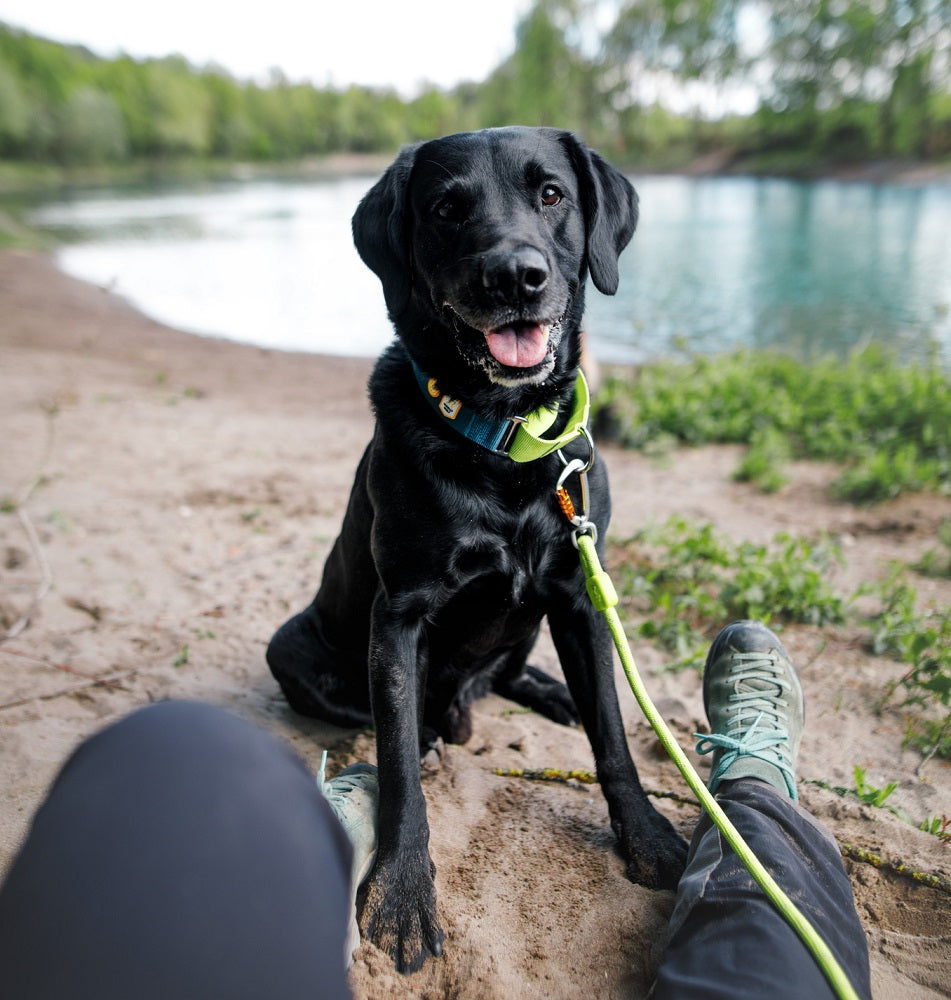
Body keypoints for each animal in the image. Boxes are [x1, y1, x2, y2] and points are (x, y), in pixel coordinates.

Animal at [266, 129, 684, 972]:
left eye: (551, 194)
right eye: (444, 209)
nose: (514, 276)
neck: (505, 440)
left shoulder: (579, 592)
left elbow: (613, 737)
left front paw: (647, 837)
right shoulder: (398, 619)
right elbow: (397, 769)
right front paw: (401, 893)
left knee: (512, 675)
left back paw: (548, 694)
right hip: (289, 644)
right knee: (413, 719)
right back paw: (439, 728)